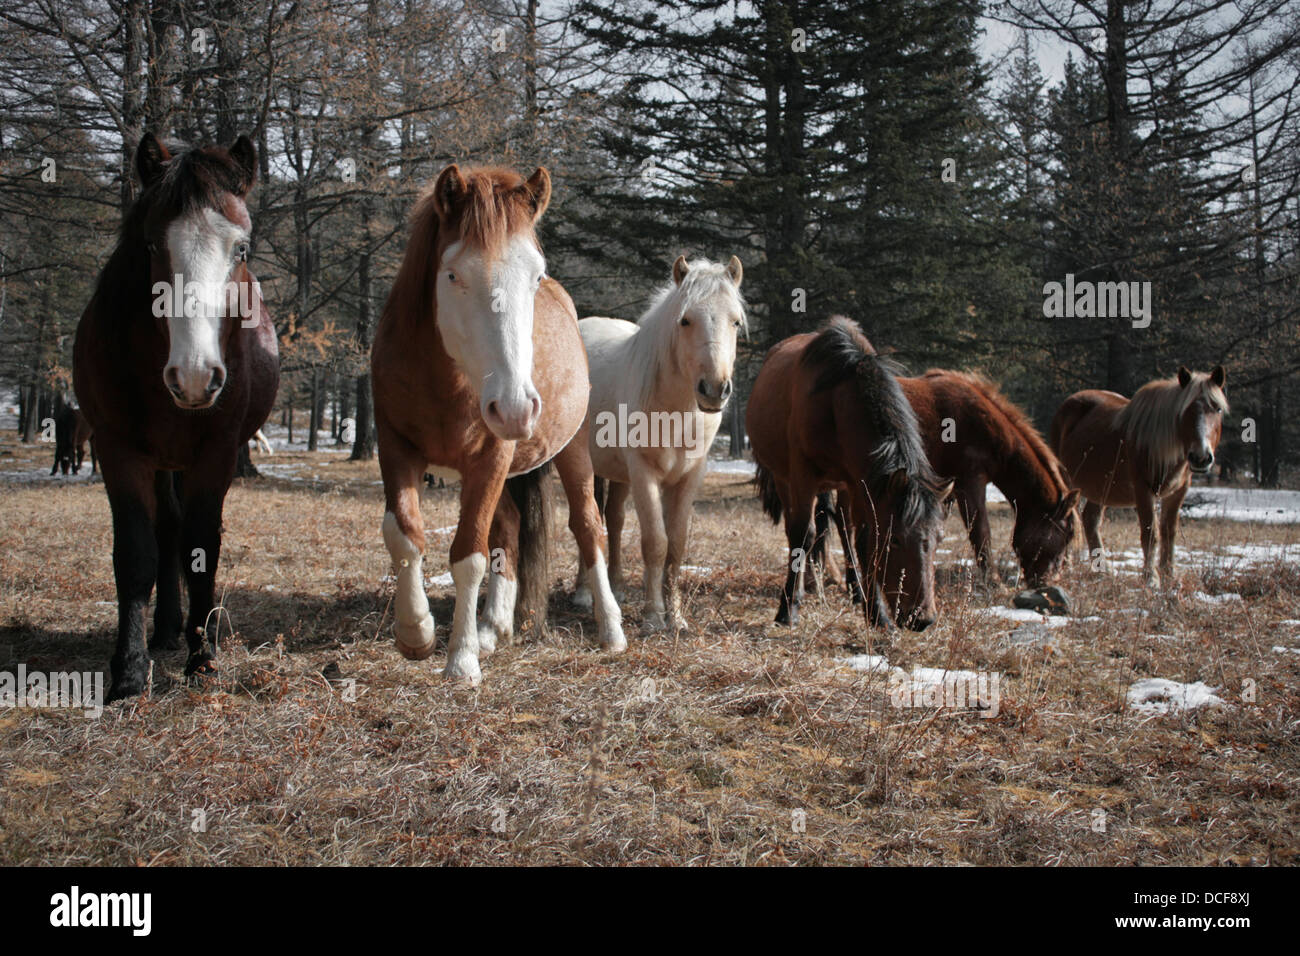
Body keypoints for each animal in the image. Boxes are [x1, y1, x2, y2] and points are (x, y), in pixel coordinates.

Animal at [73, 132, 279, 702]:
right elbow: (136, 552)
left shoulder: (217, 453)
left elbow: (201, 545)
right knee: (165, 529)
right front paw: (128, 670)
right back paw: (164, 628)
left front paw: (203, 657)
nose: (193, 376)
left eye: (242, 247)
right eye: (151, 246)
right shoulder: (117, 449)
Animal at [371, 166, 624, 686]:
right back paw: (494, 625)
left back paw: (611, 629)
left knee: (589, 526)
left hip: (571, 452)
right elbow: (403, 534)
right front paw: (416, 631)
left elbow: (468, 554)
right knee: (507, 527)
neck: (446, 380)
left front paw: (461, 659)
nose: (515, 409)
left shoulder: (490, 456)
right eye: (453, 275)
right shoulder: (394, 445)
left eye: (535, 276)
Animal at [577, 254, 748, 632]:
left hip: (618, 473)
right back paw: (582, 593)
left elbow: (677, 544)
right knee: (587, 518)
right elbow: (655, 542)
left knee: (613, 519)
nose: (715, 389)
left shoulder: (688, 477)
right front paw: (654, 617)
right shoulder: (645, 474)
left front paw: (677, 617)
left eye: (735, 322)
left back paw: (616, 588)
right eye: (685, 320)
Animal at [743, 317, 956, 632]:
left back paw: (855, 590)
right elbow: (803, 534)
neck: (833, 402)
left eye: (939, 539)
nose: (922, 618)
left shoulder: (859, 482)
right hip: (784, 478)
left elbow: (863, 539)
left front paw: (876, 613)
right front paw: (787, 608)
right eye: (895, 539)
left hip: (842, 485)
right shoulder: (802, 476)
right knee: (797, 530)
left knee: (844, 528)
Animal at [1045, 369, 1227, 587]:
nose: (1201, 457)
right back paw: (1068, 566)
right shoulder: (1143, 490)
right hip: (1068, 481)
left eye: (1217, 409)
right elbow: (1151, 533)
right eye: (1185, 410)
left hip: (1101, 488)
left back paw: (1102, 570)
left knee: (1090, 520)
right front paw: (1151, 578)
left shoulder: (1177, 492)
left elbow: (1169, 532)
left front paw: (1169, 575)